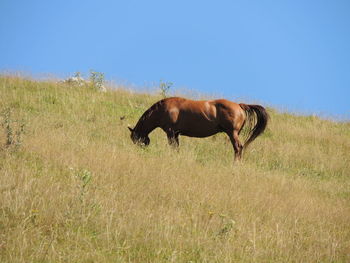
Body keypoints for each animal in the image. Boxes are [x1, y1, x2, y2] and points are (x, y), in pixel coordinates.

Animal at [128, 97, 268, 163]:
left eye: (135, 139)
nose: (141, 151)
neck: (164, 109)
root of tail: (239, 105)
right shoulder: (176, 134)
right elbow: (176, 148)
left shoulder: (171, 132)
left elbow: (173, 147)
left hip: (232, 133)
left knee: (238, 147)